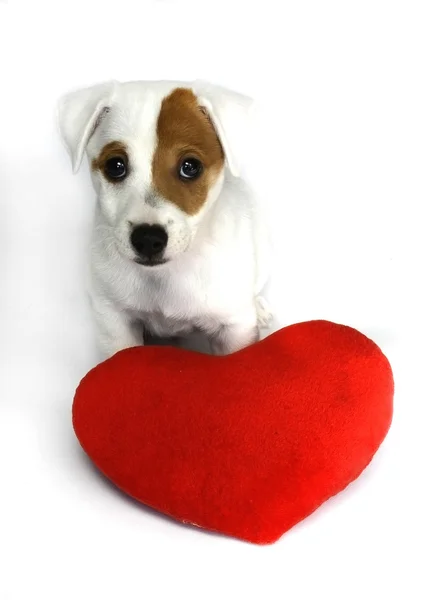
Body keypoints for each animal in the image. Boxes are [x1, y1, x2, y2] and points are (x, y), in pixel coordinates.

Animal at [58, 81, 272, 360]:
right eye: (115, 165)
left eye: (190, 166)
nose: (148, 239)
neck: (166, 276)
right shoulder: (114, 322)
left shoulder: (233, 327)